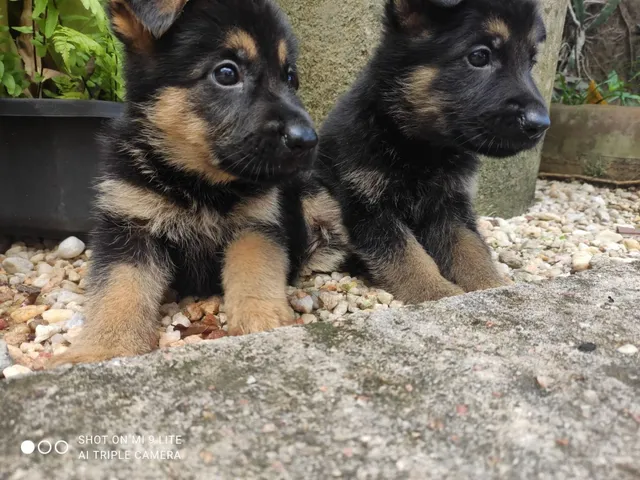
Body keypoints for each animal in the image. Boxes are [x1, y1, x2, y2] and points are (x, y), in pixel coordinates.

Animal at [52, 0, 318, 364]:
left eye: (290, 77)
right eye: (226, 73)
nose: (309, 140)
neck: (197, 184)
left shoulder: (258, 224)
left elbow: (255, 269)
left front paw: (262, 319)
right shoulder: (129, 226)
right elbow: (118, 288)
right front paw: (103, 348)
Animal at [304, 0, 552, 302]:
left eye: (531, 62)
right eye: (479, 56)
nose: (541, 125)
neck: (422, 150)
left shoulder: (451, 207)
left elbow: (472, 249)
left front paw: (491, 285)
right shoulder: (366, 207)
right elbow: (407, 255)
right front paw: (437, 292)